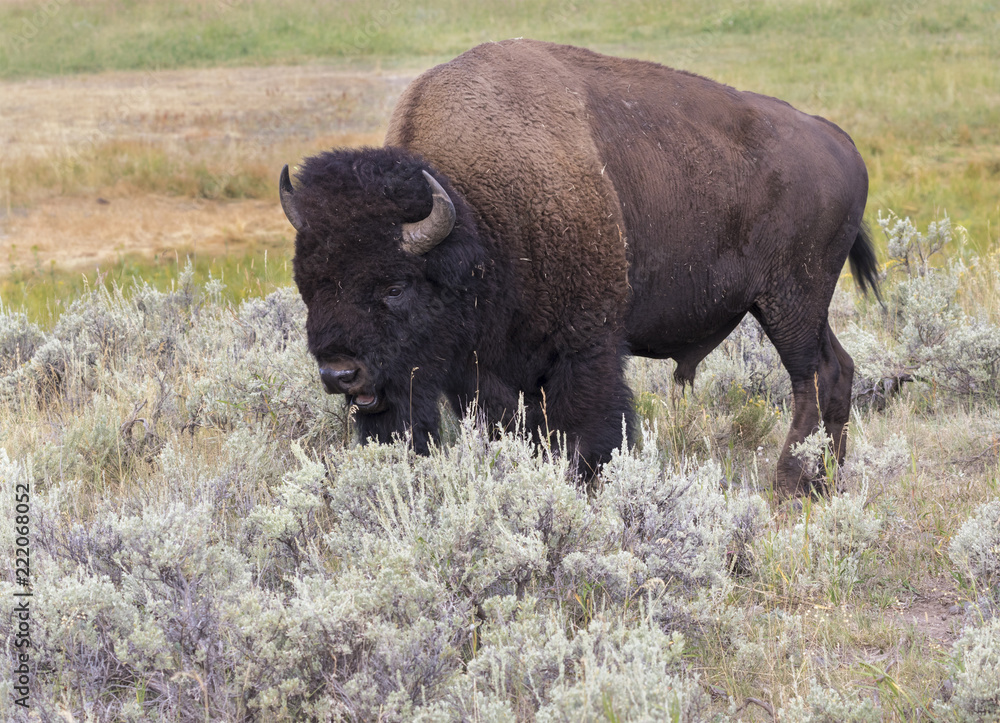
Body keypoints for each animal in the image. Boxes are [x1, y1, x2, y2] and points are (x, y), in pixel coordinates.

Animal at [278, 39, 880, 498]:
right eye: (307, 285)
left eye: (396, 287)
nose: (340, 374)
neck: (478, 215)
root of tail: (840, 141)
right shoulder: (485, 372)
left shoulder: (584, 347)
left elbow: (588, 431)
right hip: (797, 307)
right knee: (838, 370)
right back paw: (826, 480)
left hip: (790, 300)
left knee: (810, 378)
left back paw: (790, 482)